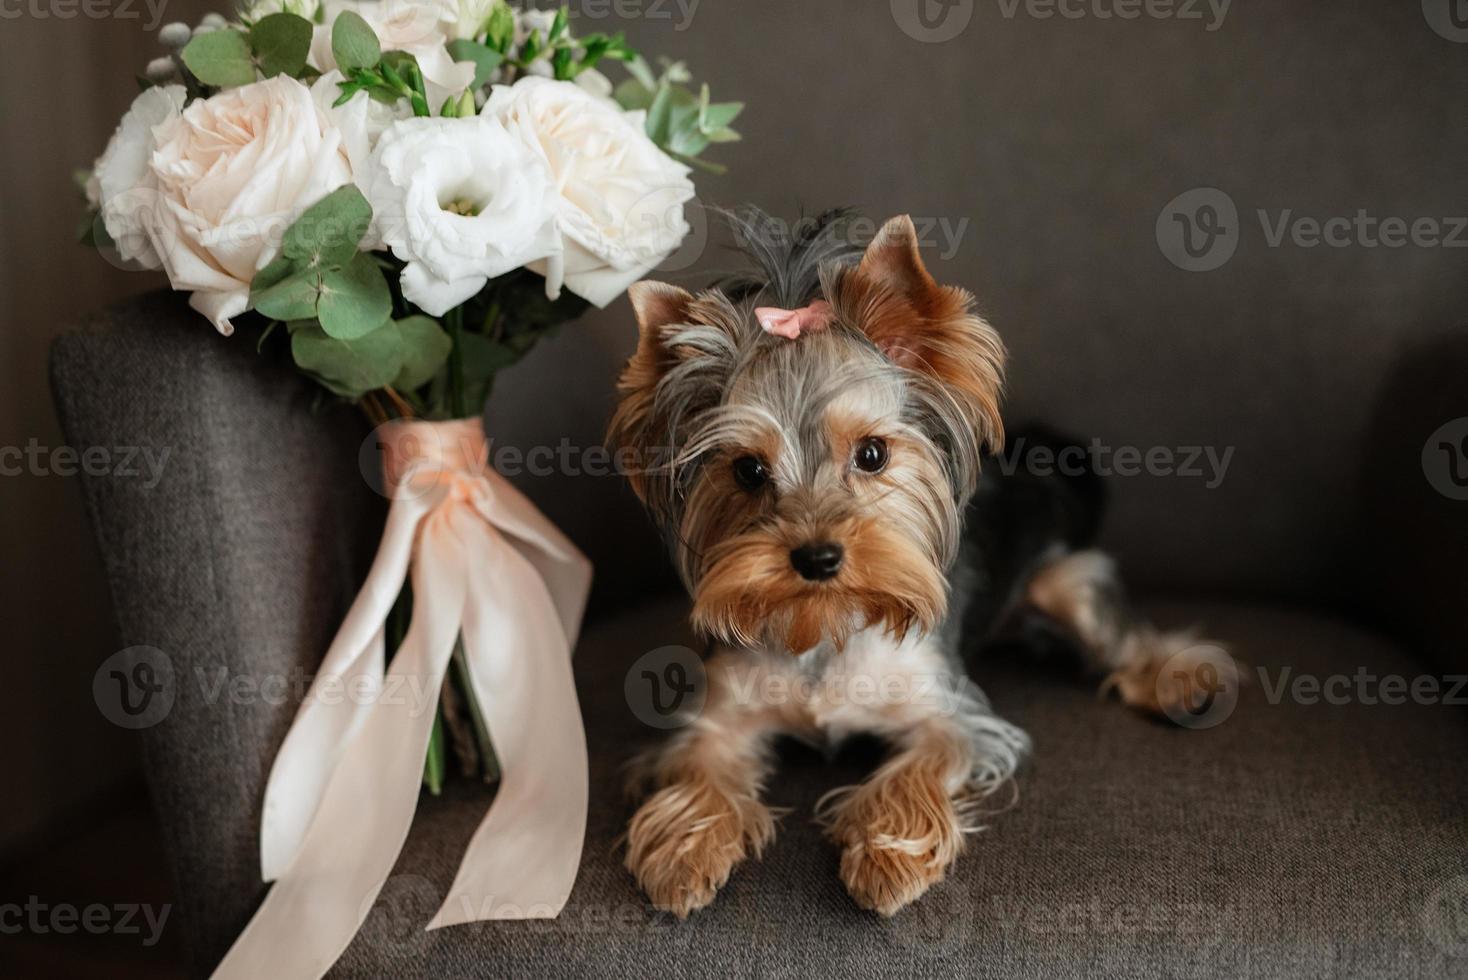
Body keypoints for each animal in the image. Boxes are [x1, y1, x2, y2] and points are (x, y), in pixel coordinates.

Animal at [604, 208, 1215, 921]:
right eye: (748, 470)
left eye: (872, 454)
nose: (817, 556)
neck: (830, 622)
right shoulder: (721, 713)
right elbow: (698, 762)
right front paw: (684, 853)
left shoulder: (949, 712)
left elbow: (925, 760)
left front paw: (887, 859)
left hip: (1063, 580)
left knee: (1121, 631)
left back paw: (1180, 678)